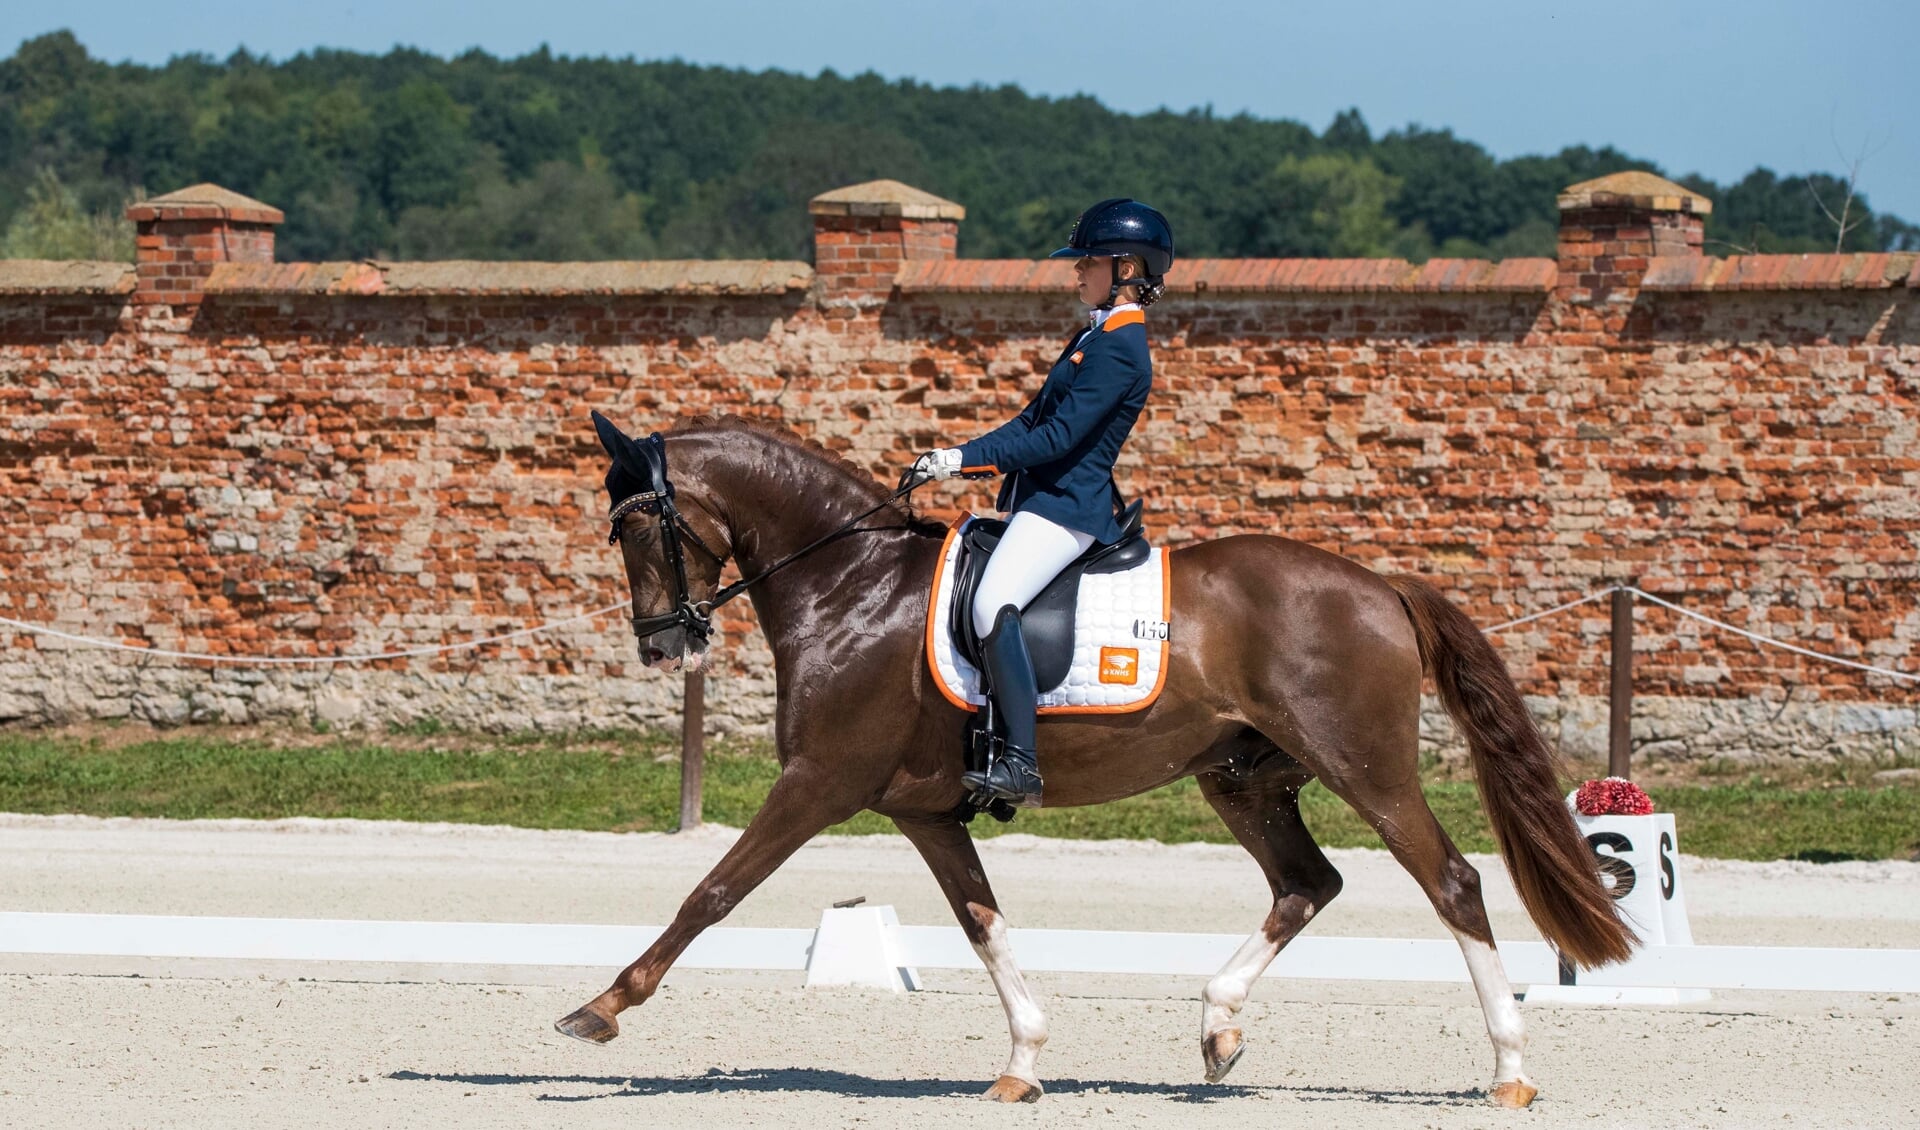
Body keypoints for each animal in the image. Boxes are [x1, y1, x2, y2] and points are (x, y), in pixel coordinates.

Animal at [560, 410, 1635, 1105]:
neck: (850, 583)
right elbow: (981, 920)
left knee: (1451, 882)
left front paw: (601, 1008)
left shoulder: (818, 784)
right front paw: (1024, 1061)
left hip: (1364, 766)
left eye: (633, 525)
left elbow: (711, 892)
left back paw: (1509, 1070)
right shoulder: (922, 809)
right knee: (1307, 883)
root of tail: (1380, 584)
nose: (661, 645)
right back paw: (1217, 1026)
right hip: (1243, 779)